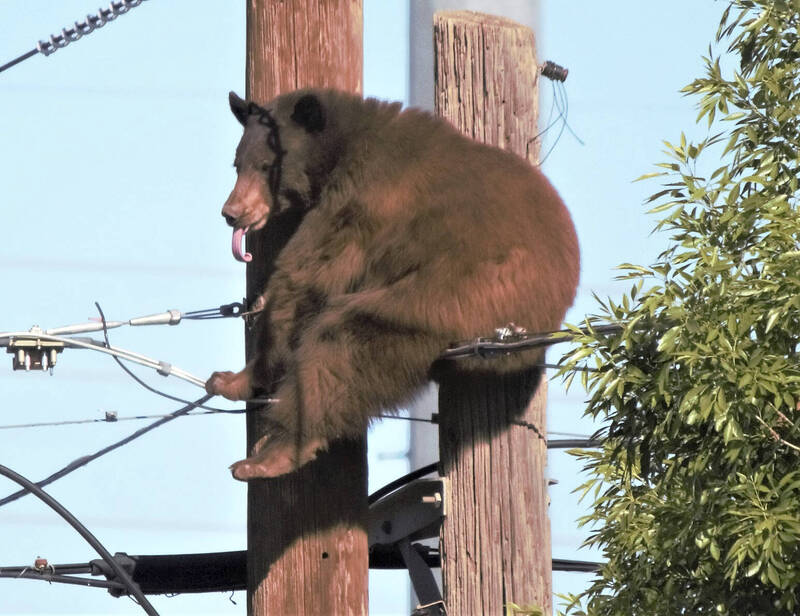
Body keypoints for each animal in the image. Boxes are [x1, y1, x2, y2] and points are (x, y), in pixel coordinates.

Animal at [206, 88, 580, 482]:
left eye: (266, 165)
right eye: (237, 164)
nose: (232, 212)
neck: (340, 147)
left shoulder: (361, 200)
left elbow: (307, 275)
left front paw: (235, 378)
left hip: (456, 295)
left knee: (342, 345)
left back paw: (270, 456)